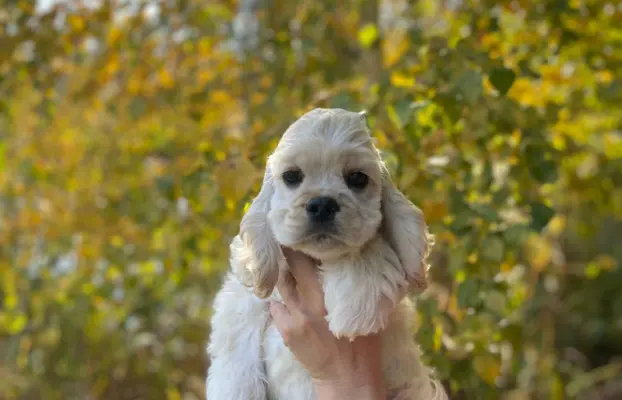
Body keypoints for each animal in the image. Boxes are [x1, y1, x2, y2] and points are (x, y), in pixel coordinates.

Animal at [208, 108, 448, 398]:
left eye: (357, 178)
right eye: (291, 176)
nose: (322, 204)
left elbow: (362, 248)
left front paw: (354, 314)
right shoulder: (244, 301)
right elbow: (237, 341)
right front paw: (237, 387)